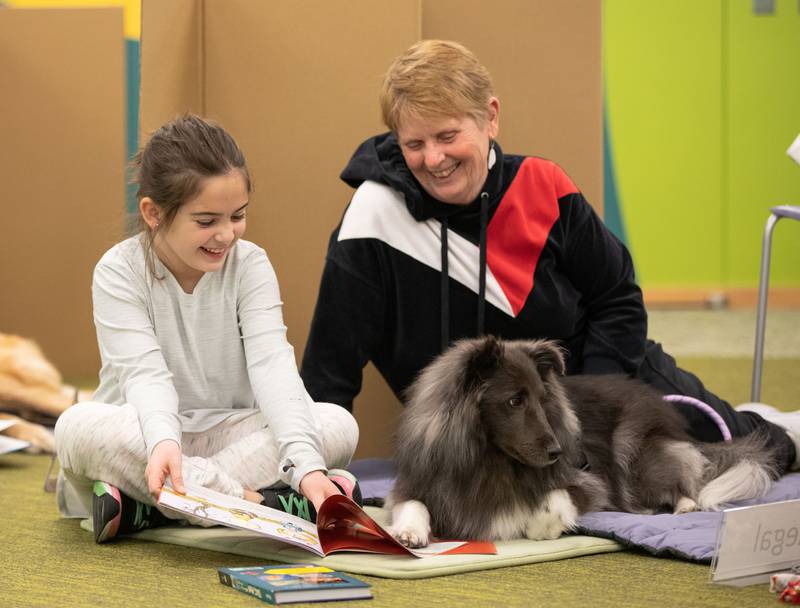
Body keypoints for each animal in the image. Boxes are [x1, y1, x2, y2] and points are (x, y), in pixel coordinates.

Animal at [384, 338, 780, 548]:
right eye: (514, 401)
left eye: (543, 399)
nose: (558, 452)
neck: (491, 461)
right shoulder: (422, 481)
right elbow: (412, 504)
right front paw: (409, 533)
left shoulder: (587, 481)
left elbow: (556, 500)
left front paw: (541, 526)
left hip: (633, 453)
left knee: (686, 476)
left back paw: (684, 506)